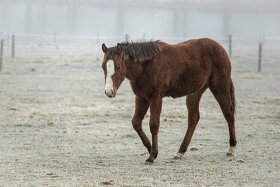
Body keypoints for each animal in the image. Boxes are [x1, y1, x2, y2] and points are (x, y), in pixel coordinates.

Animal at [100, 38, 236, 164]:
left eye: (118, 66)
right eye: (103, 66)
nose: (109, 91)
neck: (147, 66)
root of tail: (220, 48)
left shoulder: (156, 97)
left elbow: (154, 125)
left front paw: (152, 156)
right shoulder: (141, 97)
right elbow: (136, 122)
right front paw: (150, 148)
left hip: (220, 88)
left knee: (228, 115)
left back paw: (231, 148)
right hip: (195, 93)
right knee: (193, 119)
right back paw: (180, 152)